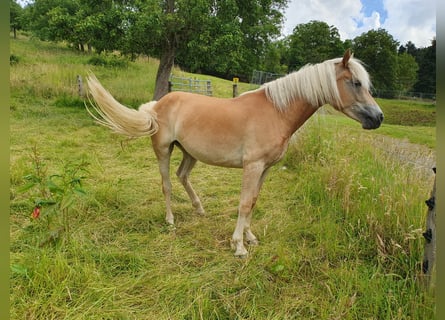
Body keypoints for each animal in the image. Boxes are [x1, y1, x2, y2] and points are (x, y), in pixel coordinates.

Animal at [86, 50, 382, 258]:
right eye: (356, 82)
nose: (378, 118)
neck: (276, 111)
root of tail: (158, 105)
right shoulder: (252, 166)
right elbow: (244, 203)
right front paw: (238, 246)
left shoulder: (265, 169)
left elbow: (254, 201)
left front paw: (250, 237)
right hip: (163, 151)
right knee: (167, 184)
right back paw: (170, 221)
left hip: (190, 152)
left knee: (183, 176)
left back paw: (200, 209)